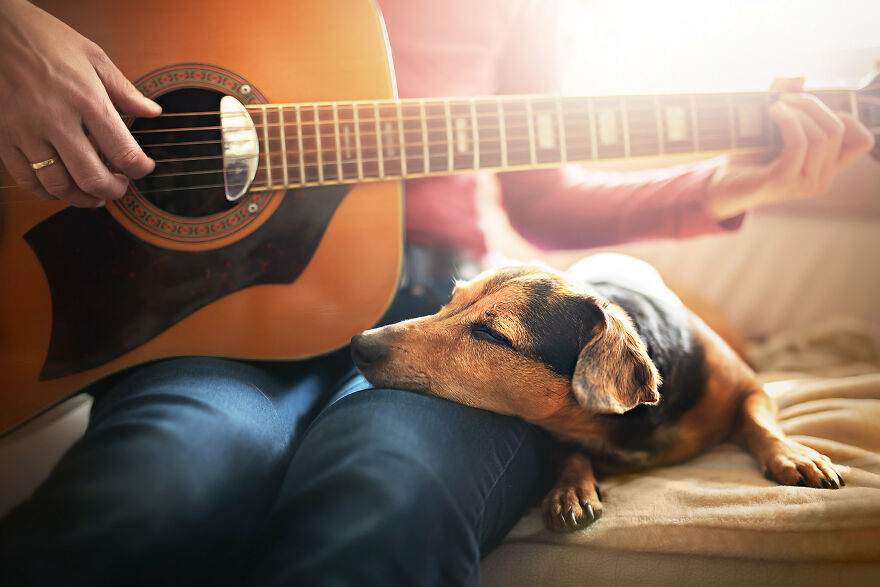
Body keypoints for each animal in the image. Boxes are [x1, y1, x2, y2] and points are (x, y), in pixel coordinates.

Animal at [348, 253, 844, 532]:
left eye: (492, 333)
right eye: (448, 303)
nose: (358, 343)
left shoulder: (750, 387)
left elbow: (759, 419)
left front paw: (793, 455)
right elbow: (569, 451)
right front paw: (571, 487)